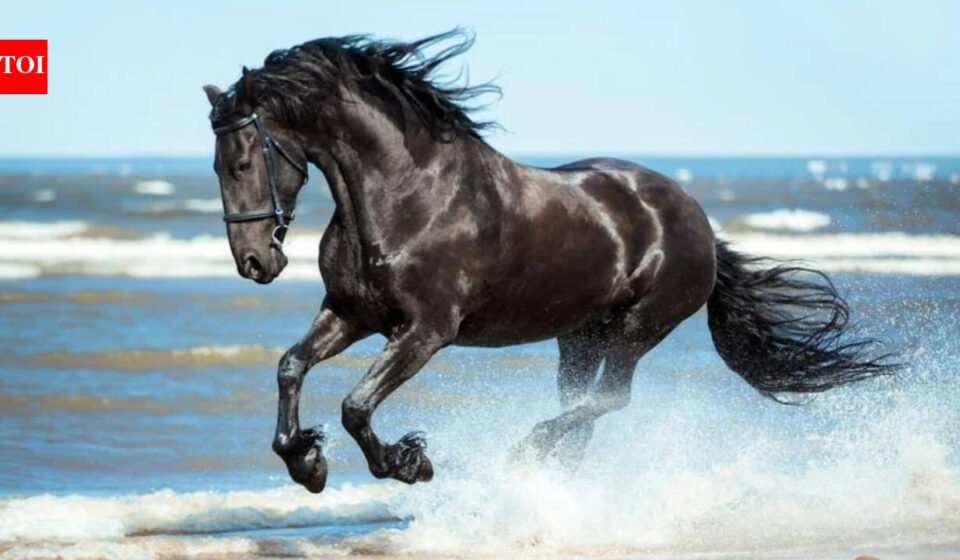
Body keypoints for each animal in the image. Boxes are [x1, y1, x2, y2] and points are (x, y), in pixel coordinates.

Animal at [202, 30, 895, 493]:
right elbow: (291, 367)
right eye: (215, 165)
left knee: (609, 400)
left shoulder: (426, 331)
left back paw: (525, 453)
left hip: (639, 327)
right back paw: (547, 474)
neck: (406, 194)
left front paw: (407, 462)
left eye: (243, 160)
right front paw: (306, 461)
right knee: (584, 410)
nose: (255, 262)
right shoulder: (351, 314)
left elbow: (356, 405)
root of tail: (697, 219)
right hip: (579, 336)